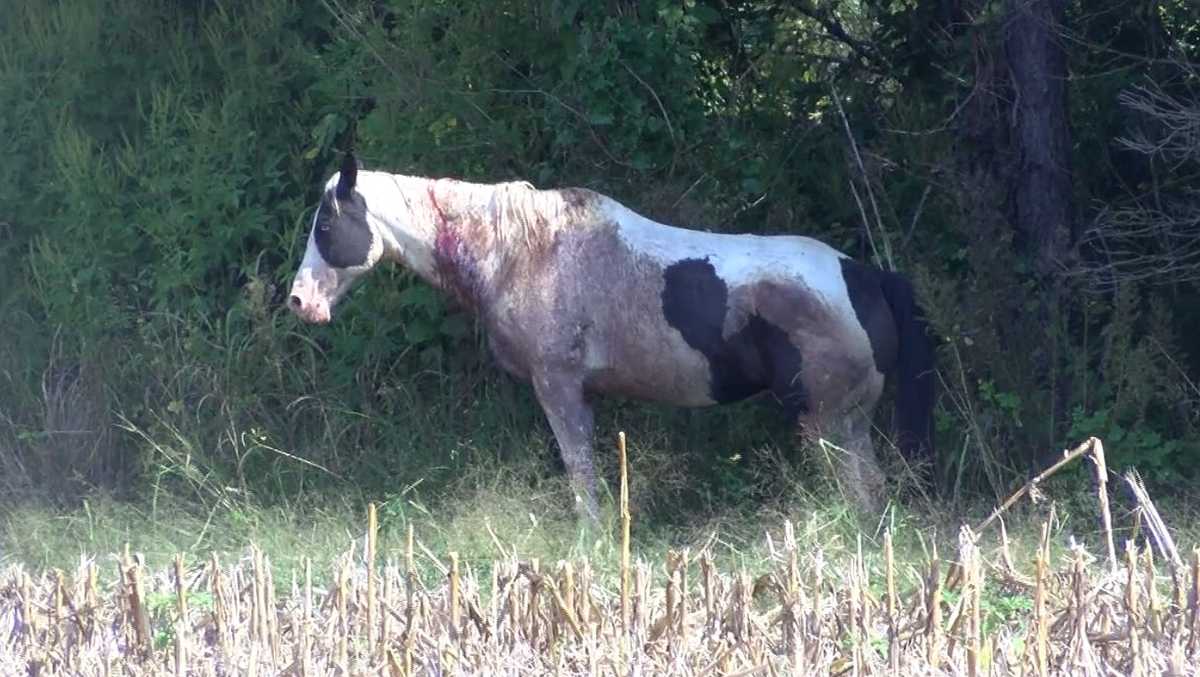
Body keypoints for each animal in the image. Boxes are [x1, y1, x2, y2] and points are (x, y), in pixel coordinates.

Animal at [288, 153, 936, 520]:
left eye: (326, 224)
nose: (300, 301)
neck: (523, 251)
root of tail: (864, 275)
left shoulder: (560, 388)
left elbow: (581, 475)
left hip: (825, 420)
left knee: (858, 495)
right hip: (850, 422)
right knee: (874, 492)